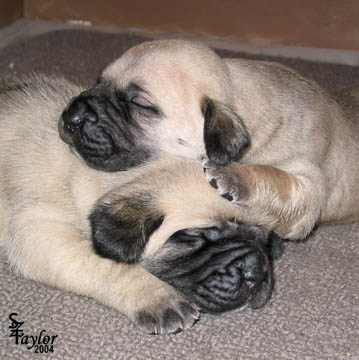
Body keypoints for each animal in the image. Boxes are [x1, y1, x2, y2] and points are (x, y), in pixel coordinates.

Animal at [61, 38, 359, 242]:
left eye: (139, 104)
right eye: (98, 80)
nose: (70, 116)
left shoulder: (307, 186)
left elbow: (274, 177)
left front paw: (232, 174)